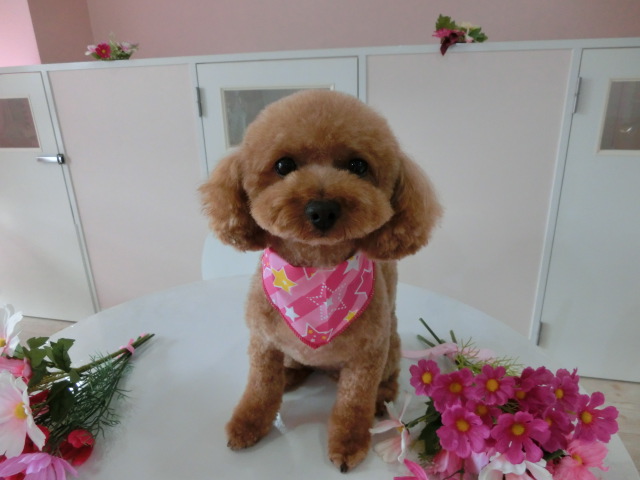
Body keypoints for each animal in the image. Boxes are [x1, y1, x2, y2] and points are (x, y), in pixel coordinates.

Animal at [200, 89, 441, 472]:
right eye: (283, 166)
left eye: (358, 166)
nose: (323, 209)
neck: (318, 273)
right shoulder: (263, 342)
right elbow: (260, 388)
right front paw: (248, 425)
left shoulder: (366, 356)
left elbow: (353, 403)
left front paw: (349, 443)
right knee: (291, 369)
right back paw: (290, 377)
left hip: (390, 344)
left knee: (387, 377)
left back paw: (382, 397)